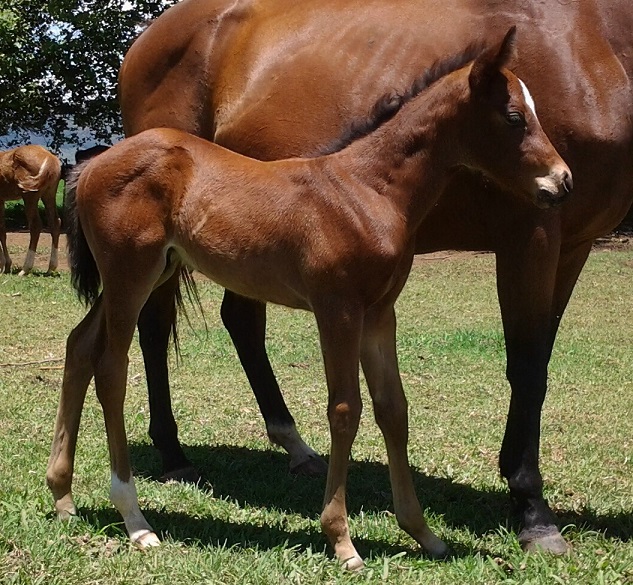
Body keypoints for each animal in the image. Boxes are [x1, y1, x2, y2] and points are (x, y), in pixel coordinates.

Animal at [0, 145, 62, 274]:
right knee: (55, 222)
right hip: (49, 194)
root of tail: (50, 158)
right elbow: (2, 231)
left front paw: (3, 265)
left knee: (35, 226)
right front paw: (6, 265)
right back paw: (51, 268)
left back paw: (25, 269)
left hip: (29, 196)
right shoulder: (1, 200)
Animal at [118, 0, 632, 556]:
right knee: (154, 324)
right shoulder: (531, 231)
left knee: (240, 321)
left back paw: (296, 447)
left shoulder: (574, 244)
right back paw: (173, 454)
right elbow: (528, 369)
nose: (562, 181)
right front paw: (533, 510)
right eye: (514, 117)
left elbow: (529, 365)